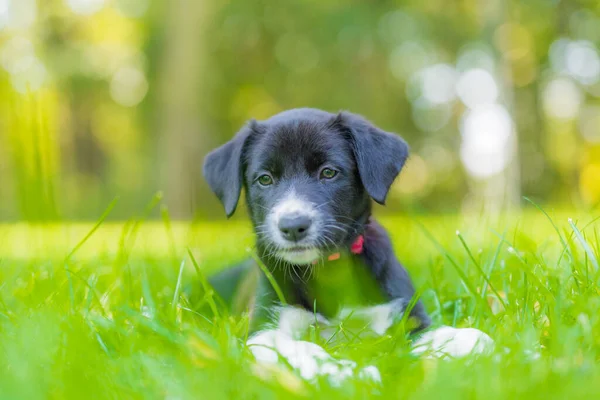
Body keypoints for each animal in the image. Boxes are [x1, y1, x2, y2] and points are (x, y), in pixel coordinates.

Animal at [202, 108, 492, 382]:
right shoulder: (262, 330)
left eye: (329, 172)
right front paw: (340, 370)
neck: (328, 270)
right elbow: (297, 348)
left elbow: (431, 334)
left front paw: (468, 339)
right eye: (264, 178)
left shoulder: (401, 312)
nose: (293, 226)